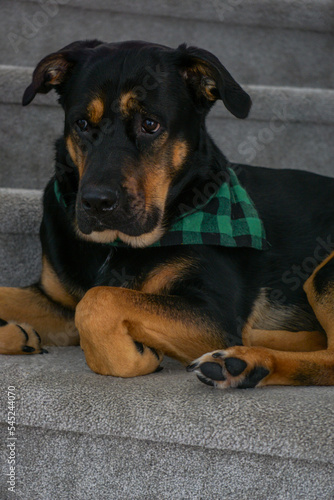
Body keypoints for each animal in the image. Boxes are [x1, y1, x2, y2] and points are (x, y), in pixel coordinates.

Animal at [0, 40, 334, 390]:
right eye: (82, 124)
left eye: (150, 124)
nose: (95, 202)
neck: (114, 246)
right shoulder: (57, 302)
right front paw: (13, 333)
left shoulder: (214, 313)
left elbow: (98, 300)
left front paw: (137, 357)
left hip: (324, 272)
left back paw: (243, 362)